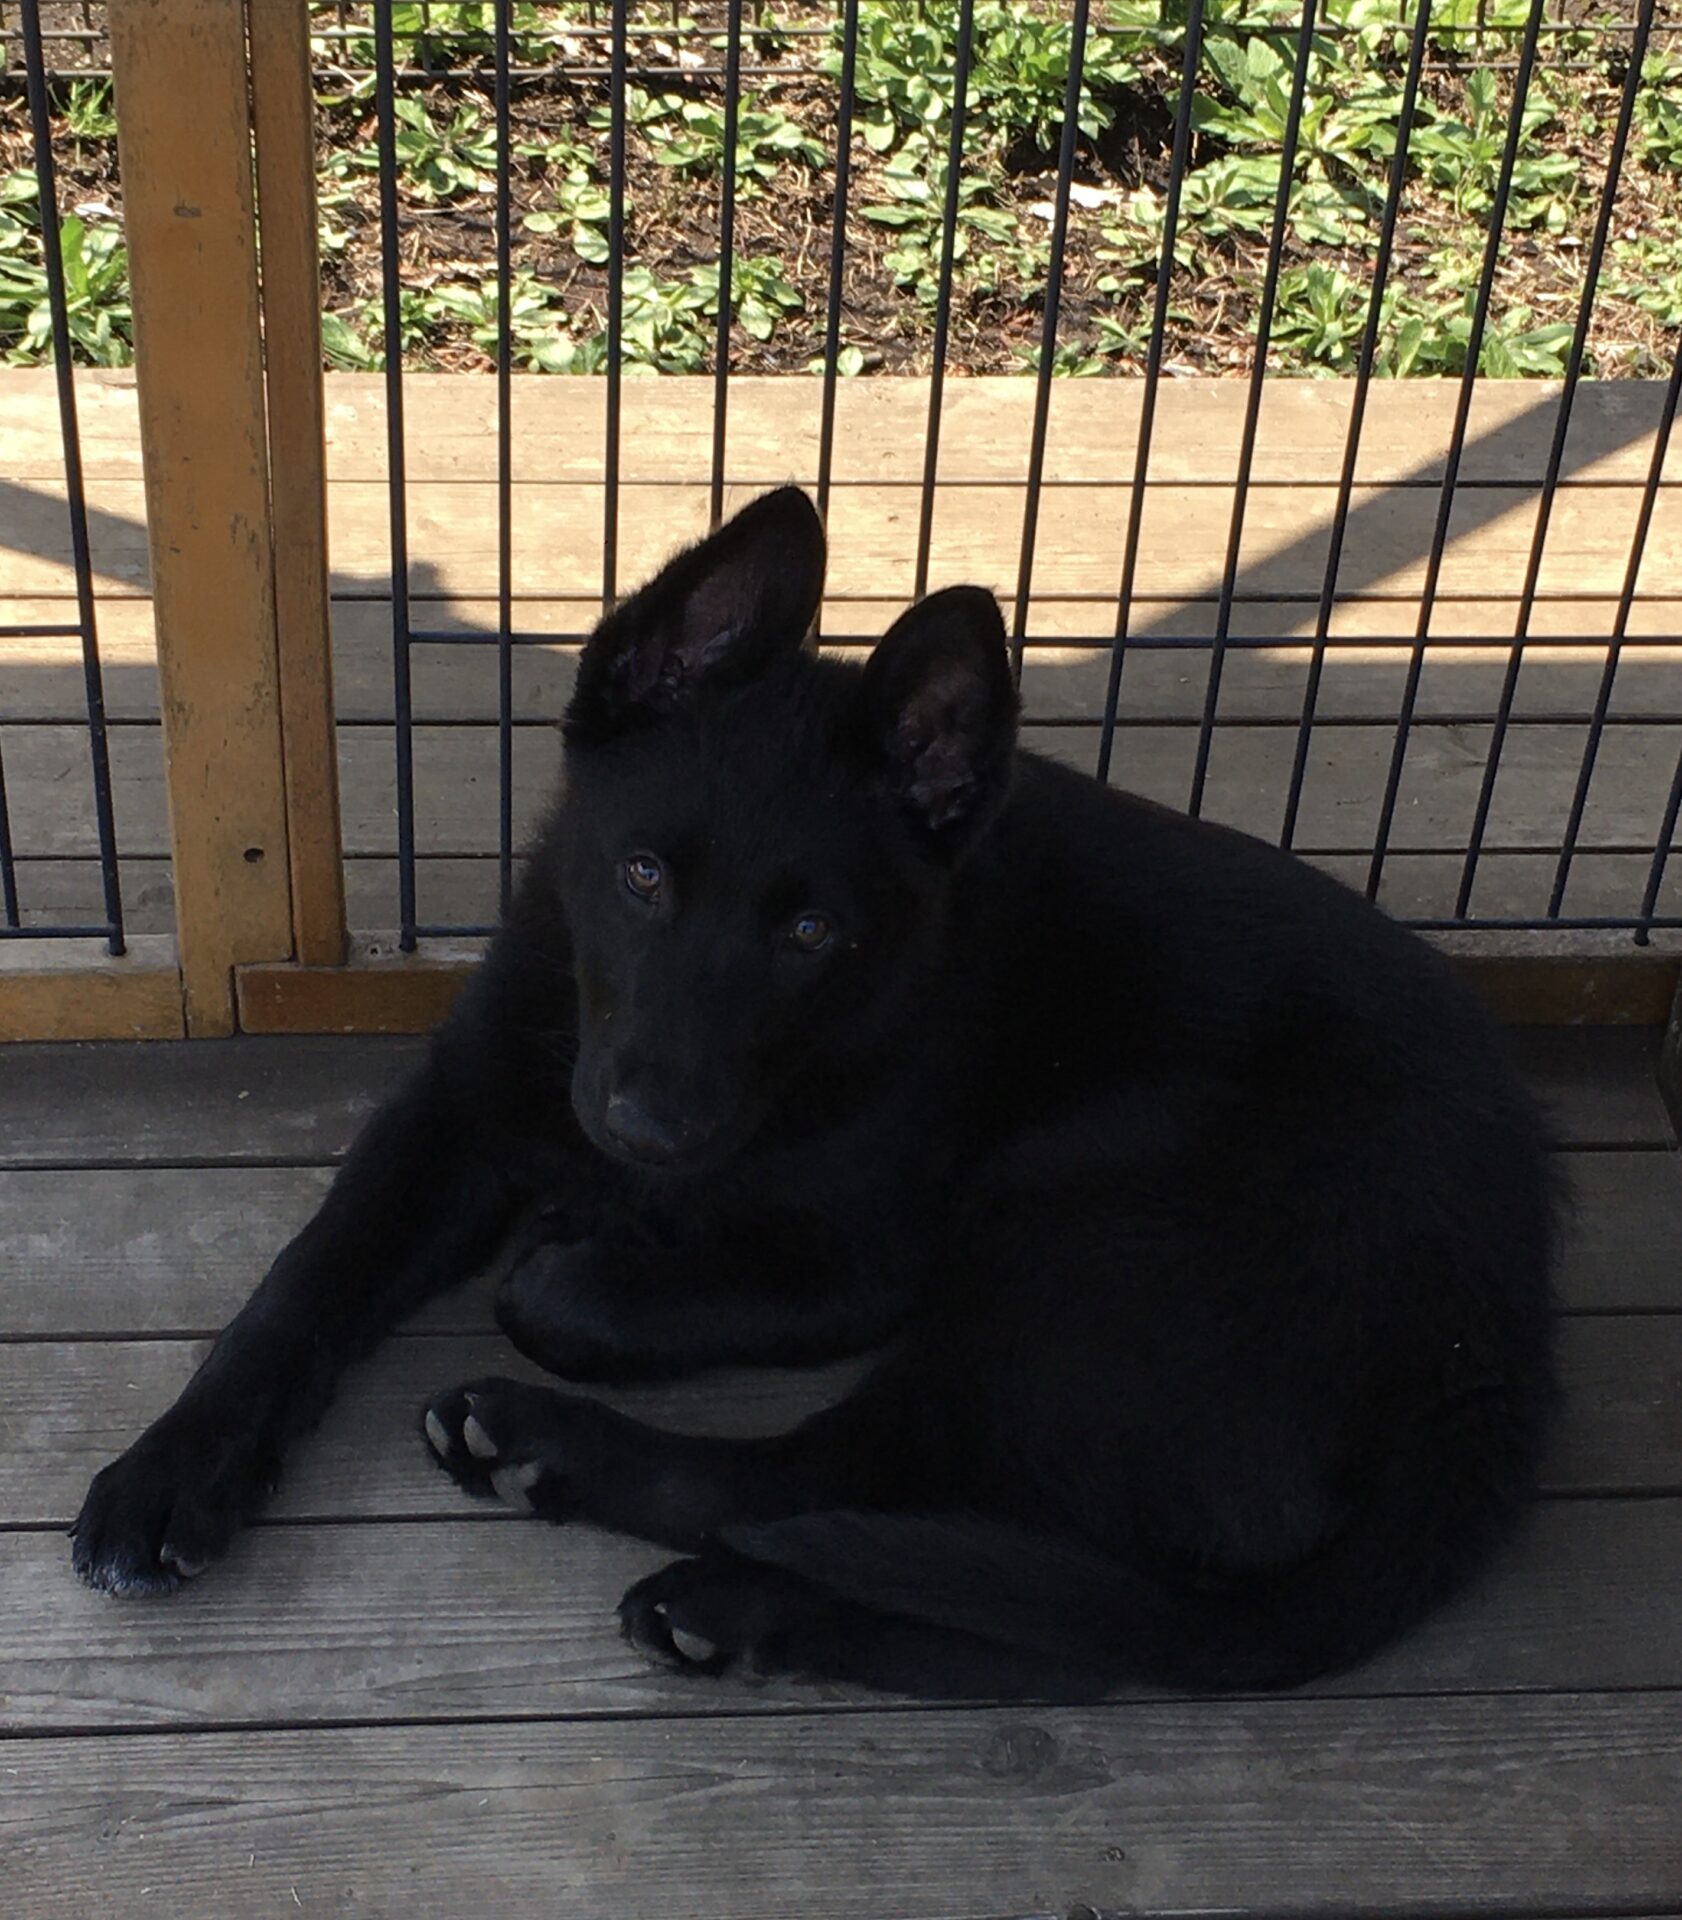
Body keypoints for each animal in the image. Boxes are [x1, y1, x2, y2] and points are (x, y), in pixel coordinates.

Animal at [72, 486, 1558, 1701]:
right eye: (641, 875)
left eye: (809, 934)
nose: (645, 1132)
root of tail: (1493, 1374)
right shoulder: (461, 1111)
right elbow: (303, 1281)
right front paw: (172, 1470)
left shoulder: (864, 1261)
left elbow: (567, 1297)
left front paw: (581, 1262)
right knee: (1065, 1639)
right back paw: (741, 1617)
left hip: (1082, 1237)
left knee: (819, 1478)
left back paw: (565, 1463)